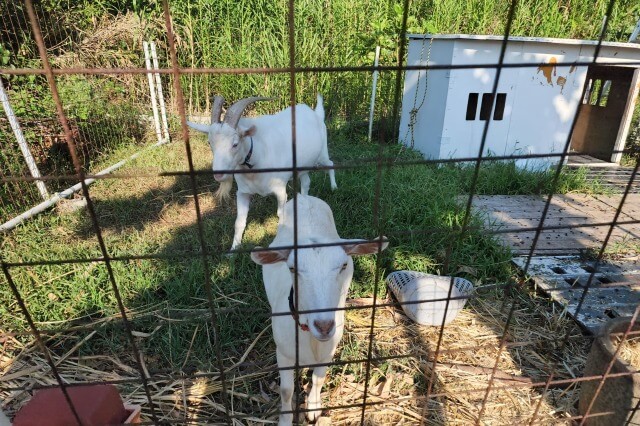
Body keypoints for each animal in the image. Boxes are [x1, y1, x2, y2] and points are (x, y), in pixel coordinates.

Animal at [185, 95, 338, 251]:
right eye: (210, 143)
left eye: (235, 144)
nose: (218, 174)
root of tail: (316, 113)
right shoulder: (242, 192)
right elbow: (239, 222)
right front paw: (233, 249)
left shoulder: (280, 190)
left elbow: (281, 215)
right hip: (302, 166)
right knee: (306, 181)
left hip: (322, 154)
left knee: (330, 164)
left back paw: (334, 188)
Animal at [252, 195, 388, 424]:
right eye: (292, 268)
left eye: (343, 265)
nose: (324, 326)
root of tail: (303, 197)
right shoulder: (283, 353)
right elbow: (286, 390)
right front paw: (285, 420)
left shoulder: (329, 351)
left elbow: (318, 379)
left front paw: (313, 409)